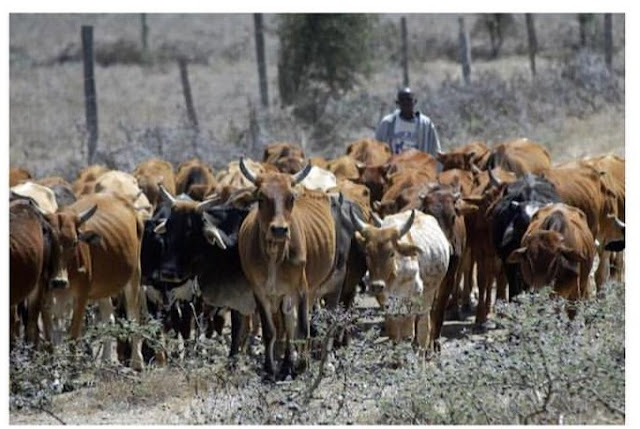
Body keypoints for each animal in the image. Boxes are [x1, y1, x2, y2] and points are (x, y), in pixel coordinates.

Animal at [237, 158, 336, 380]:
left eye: (290, 198)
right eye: (261, 198)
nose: (279, 229)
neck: (274, 255)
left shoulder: (301, 289)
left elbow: (302, 328)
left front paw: (301, 364)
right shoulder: (260, 292)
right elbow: (270, 331)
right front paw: (270, 367)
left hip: (313, 289)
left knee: (297, 323)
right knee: (288, 323)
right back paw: (286, 363)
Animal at [350, 209, 450, 353]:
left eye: (392, 253)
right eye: (367, 253)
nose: (377, 286)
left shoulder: (413, 298)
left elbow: (408, 331)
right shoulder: (386, 303)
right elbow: (394, 331)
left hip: (428, 295)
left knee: (423, 325)